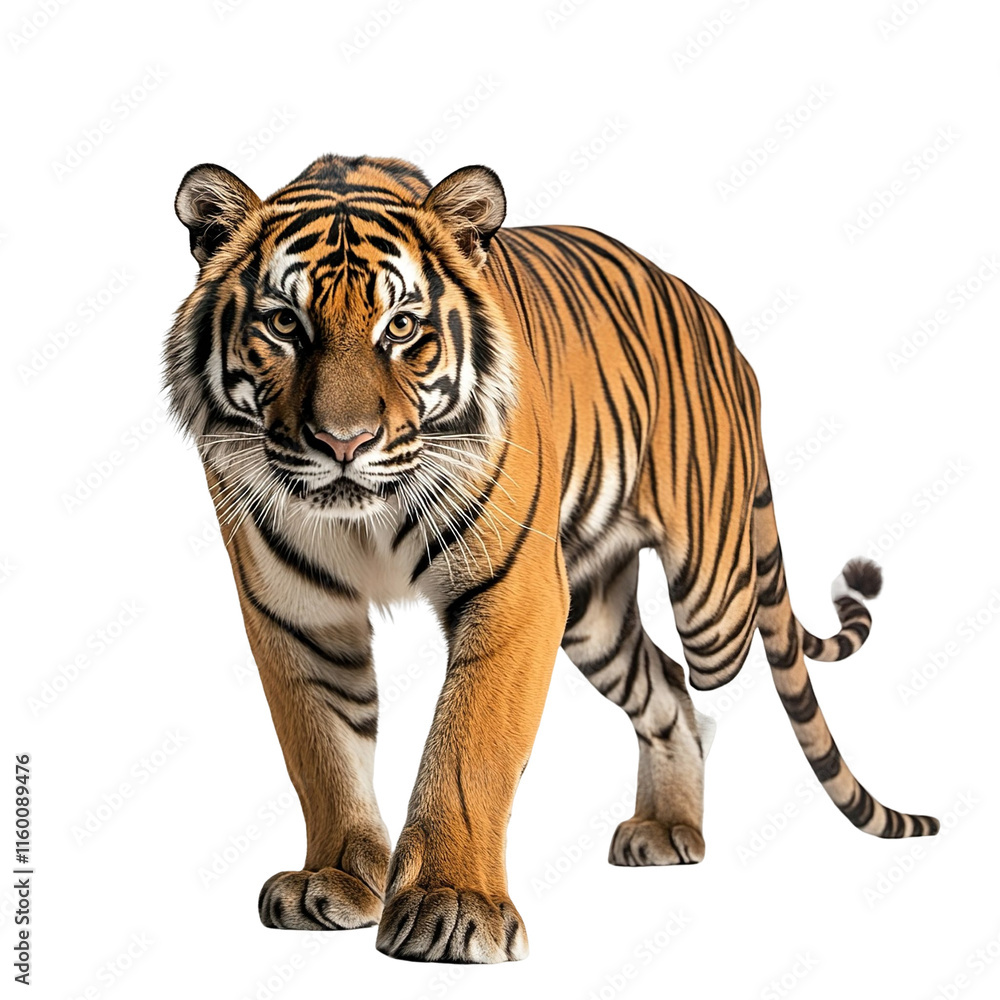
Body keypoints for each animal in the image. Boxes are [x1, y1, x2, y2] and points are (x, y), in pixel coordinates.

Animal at [164, 153, 938, 964]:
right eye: (284, 322)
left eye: (401, 327)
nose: (344, 444)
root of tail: (721, 328)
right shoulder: (296, 611)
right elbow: (322, 751)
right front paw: (335, 880)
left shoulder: (515, 593)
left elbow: (468, 748)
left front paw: (451, 906)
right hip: (593, 612)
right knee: (666, 686)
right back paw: (666, 828)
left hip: (712, 603)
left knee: (702, 670)